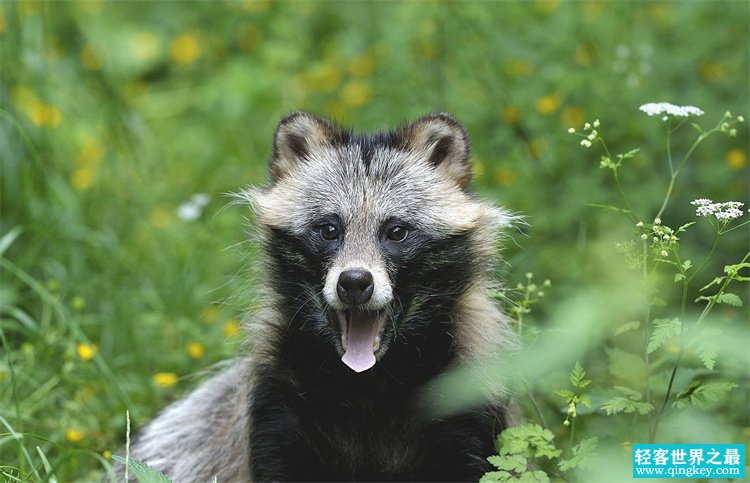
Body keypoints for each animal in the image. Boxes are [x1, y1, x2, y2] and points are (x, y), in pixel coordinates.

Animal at [129, 112, 516, 480]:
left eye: (396, 231)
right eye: (329, 229)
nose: (355, 282)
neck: (369, 383)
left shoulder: (464, 394)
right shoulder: (277, 405)